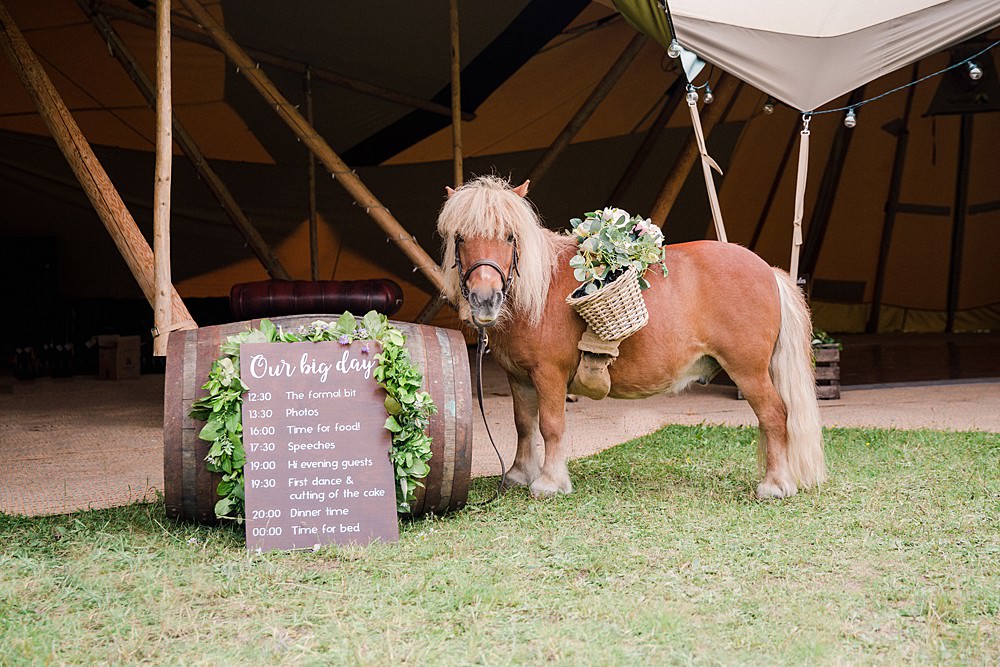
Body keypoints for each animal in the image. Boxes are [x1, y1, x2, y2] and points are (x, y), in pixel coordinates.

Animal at [437, 175, 826, 499]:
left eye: (509, 236)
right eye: (460, 237)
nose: (485, 298)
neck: (540, 292)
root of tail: (768, 271)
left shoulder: (549, 375)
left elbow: (550, 425)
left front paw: (549, 482)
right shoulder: (519, 378)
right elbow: (524, 425)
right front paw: (519, 474)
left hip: (749, 372)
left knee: (774, 415)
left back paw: (775, 485)